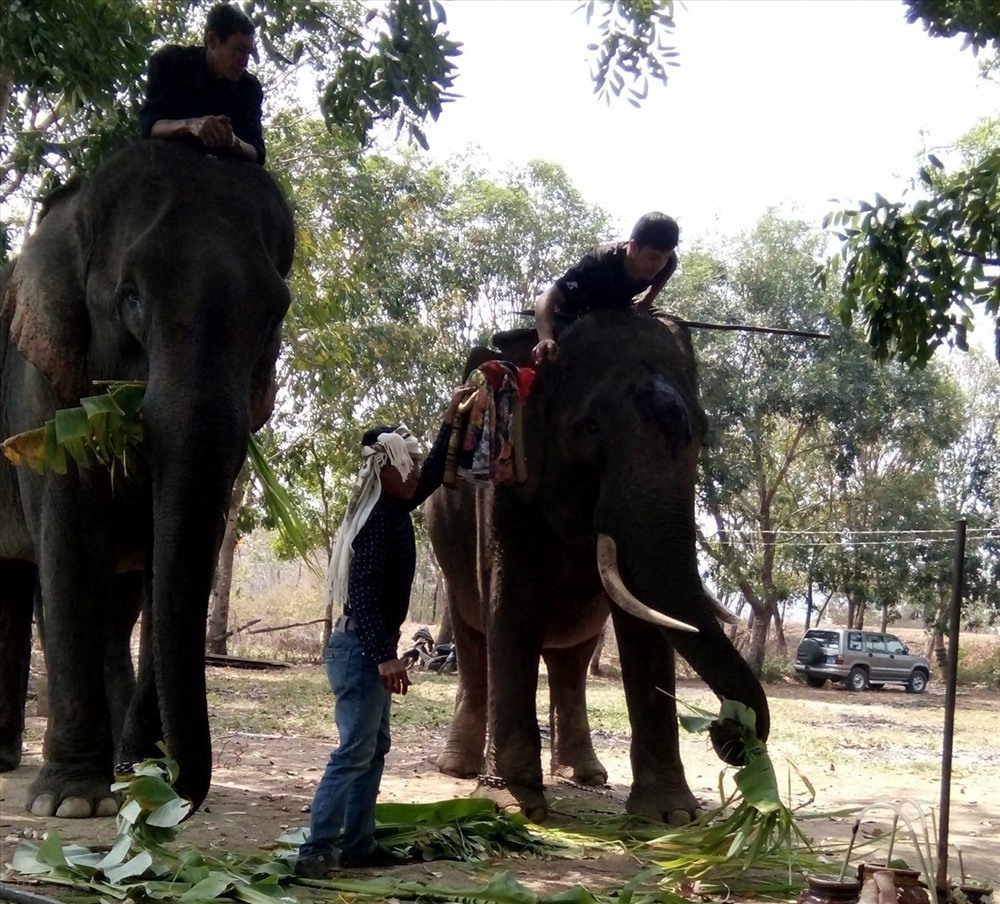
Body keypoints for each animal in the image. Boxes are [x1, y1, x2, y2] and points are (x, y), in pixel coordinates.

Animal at [0, 139, 294, 820]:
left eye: (276, 315)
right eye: (129, 297)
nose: (175, 784)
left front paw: (132, 780)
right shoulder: (39, 391)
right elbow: (67, 538)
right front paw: (70, 804)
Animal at [426, 308, 768, 828]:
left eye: (704, 429)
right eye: (588, 428)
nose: (729, 731)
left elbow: (644, 624)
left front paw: (671, 817)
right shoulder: (504, 487)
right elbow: (512, 606)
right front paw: (515, 807)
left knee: (570, 661)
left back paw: (586, 775)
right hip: (448, 554)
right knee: (472, 641)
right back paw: (458, 769)